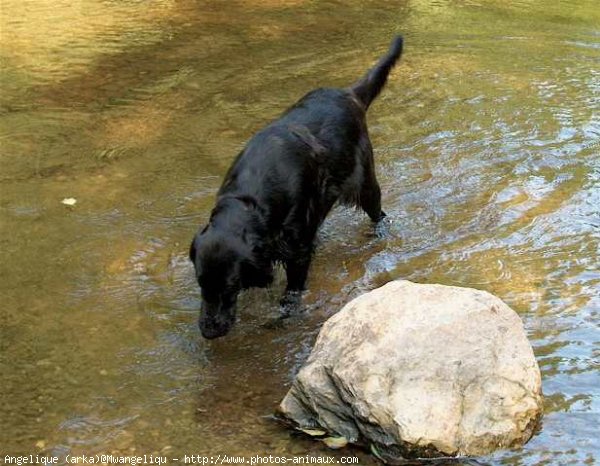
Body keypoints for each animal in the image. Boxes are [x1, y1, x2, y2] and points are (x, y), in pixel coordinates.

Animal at [189, 34, 404, 336]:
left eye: (230, 285)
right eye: (201, 282)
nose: (209, 331)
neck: (249, 201)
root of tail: (347, 94)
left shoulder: (298, 250)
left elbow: (291, 292)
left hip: (364, 184)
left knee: (378, 212)